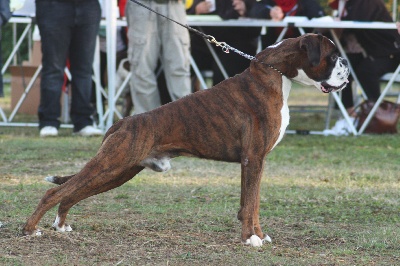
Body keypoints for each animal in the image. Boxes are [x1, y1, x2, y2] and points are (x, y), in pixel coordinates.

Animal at [23, 33, 350, 247]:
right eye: (333, 57)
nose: (346, 65)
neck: (274, 76)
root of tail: (123, 121)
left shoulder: (255, 162)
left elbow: (251, 202)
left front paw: (259, 235)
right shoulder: (253, 159)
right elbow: (251, 203)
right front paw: (251, 239)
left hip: (118, 172)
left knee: (71, 193)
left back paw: (61, 225)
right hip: (110, 165)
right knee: (55, 192)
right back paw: (30, 229)